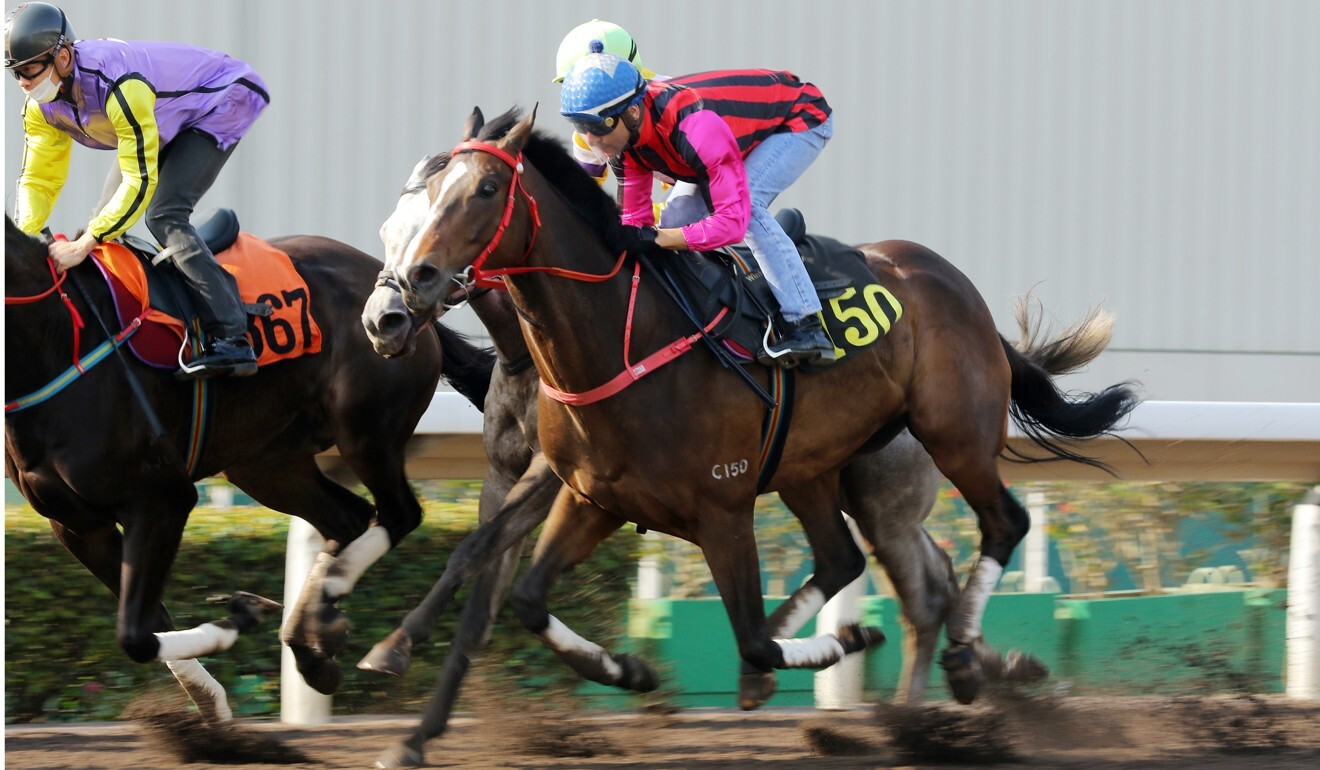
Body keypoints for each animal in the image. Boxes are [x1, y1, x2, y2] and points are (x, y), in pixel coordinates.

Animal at [3, 220, 496, 723]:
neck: (59, 340)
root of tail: (404, 303)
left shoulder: (161, 498)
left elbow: (136, 635)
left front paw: (240, 617)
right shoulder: (78, 525)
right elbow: (149, 621)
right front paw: (211, 701)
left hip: (366, 430)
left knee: (397, 514)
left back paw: (330, 617)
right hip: (264, 462)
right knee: (348, 518)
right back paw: (313, 640)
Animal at [388, 106, 1135, 713]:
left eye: (486, 189)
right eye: (424, 193)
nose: (412, 281)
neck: (625, 341)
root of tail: (960, 288)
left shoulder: (723, 509)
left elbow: (747, 637)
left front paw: (839, 643)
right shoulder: (591, 496)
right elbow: (524, 596)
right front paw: (632, 669)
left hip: (954, 436)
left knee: (1001, 525)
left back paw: (963, 656)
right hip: (816, 467)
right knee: (848, 561)